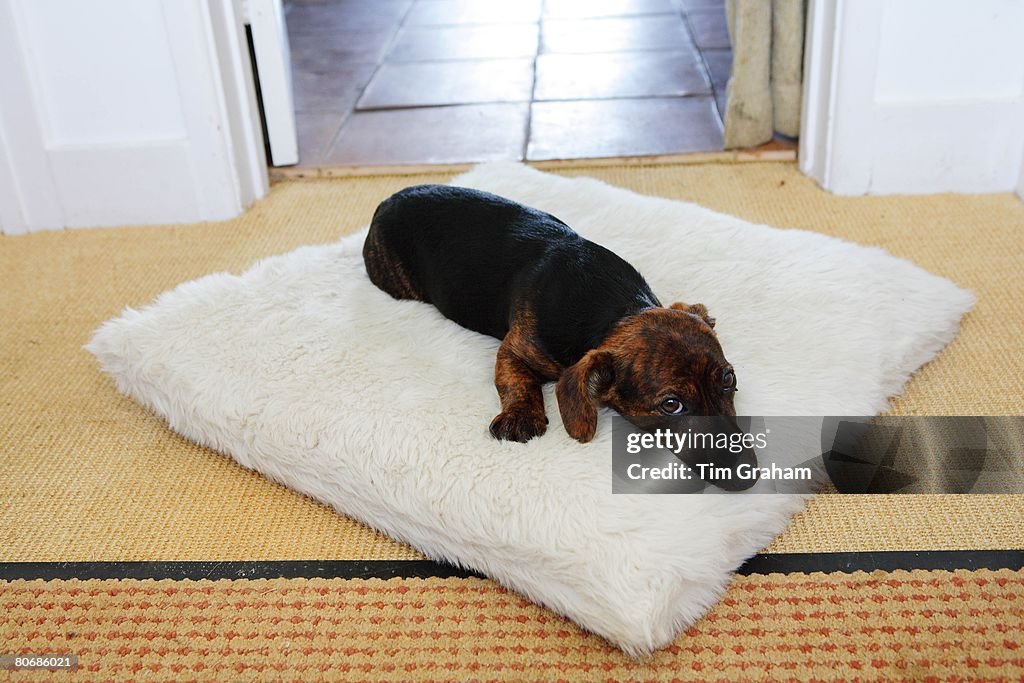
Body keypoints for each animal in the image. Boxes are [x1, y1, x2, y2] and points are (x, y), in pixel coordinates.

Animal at [362, 184, 737, 446]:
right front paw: (521, 417)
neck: (612, 308)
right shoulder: (513, 349)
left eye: (729, 380)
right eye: (671, 405)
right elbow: (518, 382)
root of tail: (386, 201)